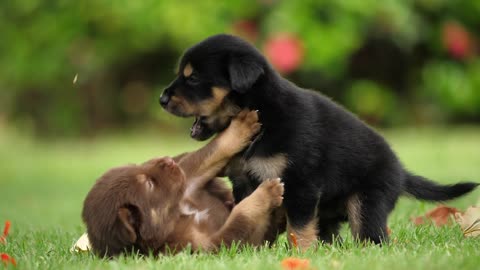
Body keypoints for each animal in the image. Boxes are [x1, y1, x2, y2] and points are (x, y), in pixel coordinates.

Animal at [83, 110, 284, 258]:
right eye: (149, 184)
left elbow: (211, 151)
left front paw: (242, 125)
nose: (168, 160)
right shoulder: (210, 246)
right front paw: (267, 192)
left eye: (135, 166)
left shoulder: (188, 181)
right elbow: (239, 218)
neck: (176, 215)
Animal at [159, 33, 478, 249]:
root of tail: (401, 172)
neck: (264, 114)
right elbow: (254, 213)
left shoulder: (301, 183)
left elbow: (298, 228)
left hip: (368, 201)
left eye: (193, 78)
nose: (161, 99)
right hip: (330, 213)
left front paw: (301, 254)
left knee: (372, 236)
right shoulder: (244, 181)